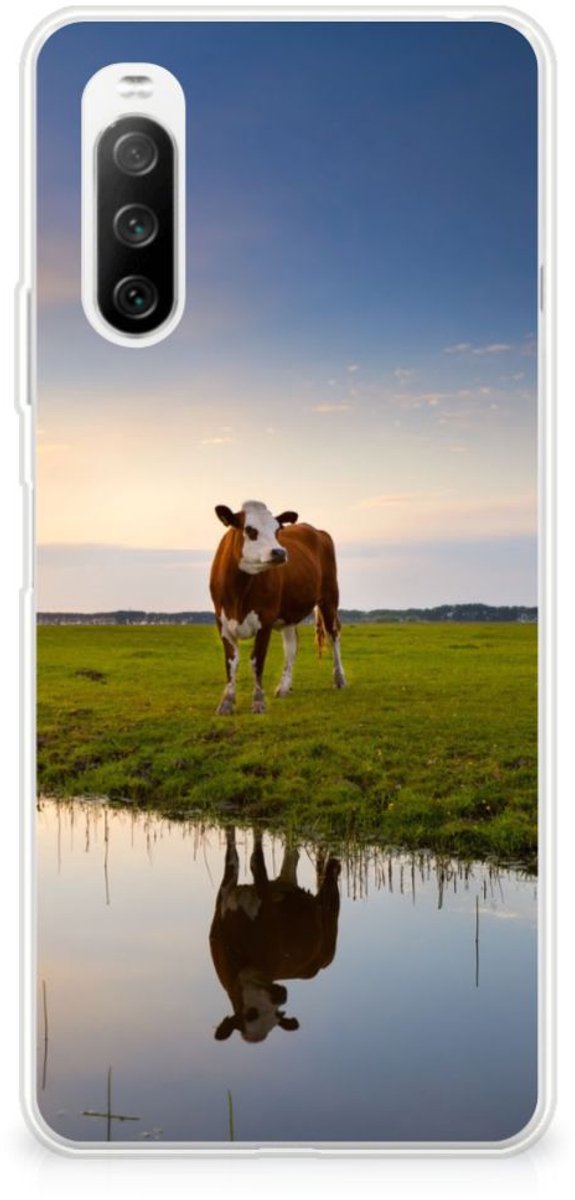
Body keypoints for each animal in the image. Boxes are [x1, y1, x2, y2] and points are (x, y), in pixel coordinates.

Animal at [209, 500, 346, 715]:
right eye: (250, 530)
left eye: (277, 530)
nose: (280, 552)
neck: (238, 592)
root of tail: (316, 530)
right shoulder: (222, 622)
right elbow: (231, 662)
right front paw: (226, 702)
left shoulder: (265, 620)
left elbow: (257, 660)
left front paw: (258, 702)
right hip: (289, 614)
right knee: (291, 645)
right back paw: (283, 687)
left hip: (330, 597)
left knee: (333, 635)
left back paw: (339, 678)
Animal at [209, 827, 341, 1043]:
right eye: (250, 1014)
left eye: (277, 1015)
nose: (281, 995)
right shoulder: (224, 895)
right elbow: (232, 855)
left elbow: (256, 861)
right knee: (292, 856)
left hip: (329, 921)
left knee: (330, 889)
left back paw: (334, 865)